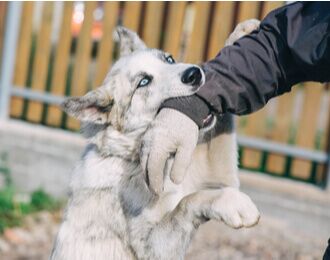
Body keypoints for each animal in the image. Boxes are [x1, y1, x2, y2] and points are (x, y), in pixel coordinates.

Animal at [51, 19, 260, 260]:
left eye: (169, 59)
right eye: (143, 81)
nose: (194, 73)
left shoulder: (222, 178)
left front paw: (238, 37)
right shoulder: (155, 247)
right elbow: (187, 202)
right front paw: (235, 205)